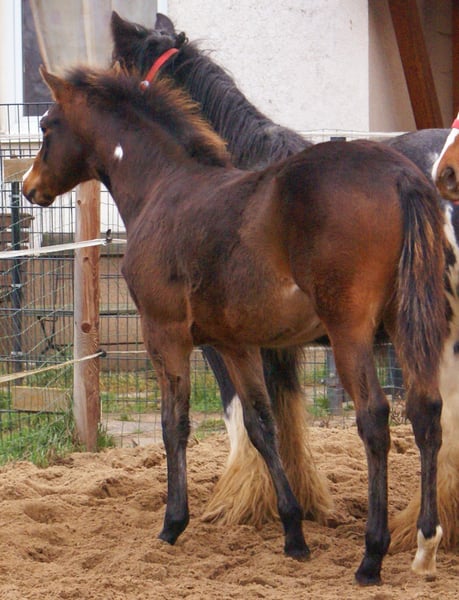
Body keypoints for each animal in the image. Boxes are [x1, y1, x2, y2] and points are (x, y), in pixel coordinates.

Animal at [23, 65, 448, 585]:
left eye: (46, 126)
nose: (27, 187)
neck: (163, 188)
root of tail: (399, 174)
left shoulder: (165, 334)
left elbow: (174, 424)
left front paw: (172, 524)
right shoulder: (236, 344)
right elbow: (262, 426)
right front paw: (293, 534)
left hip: (351, 332)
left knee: (374, 418)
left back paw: (372, 555)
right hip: (409, 325)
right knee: (426, 413)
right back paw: (425, 542)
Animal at [110, 11, 459, 552]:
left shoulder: (221, 340)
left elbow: (244, 415)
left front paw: (245, 501)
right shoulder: (275, 341)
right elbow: (284, 413)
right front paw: (302, 504)